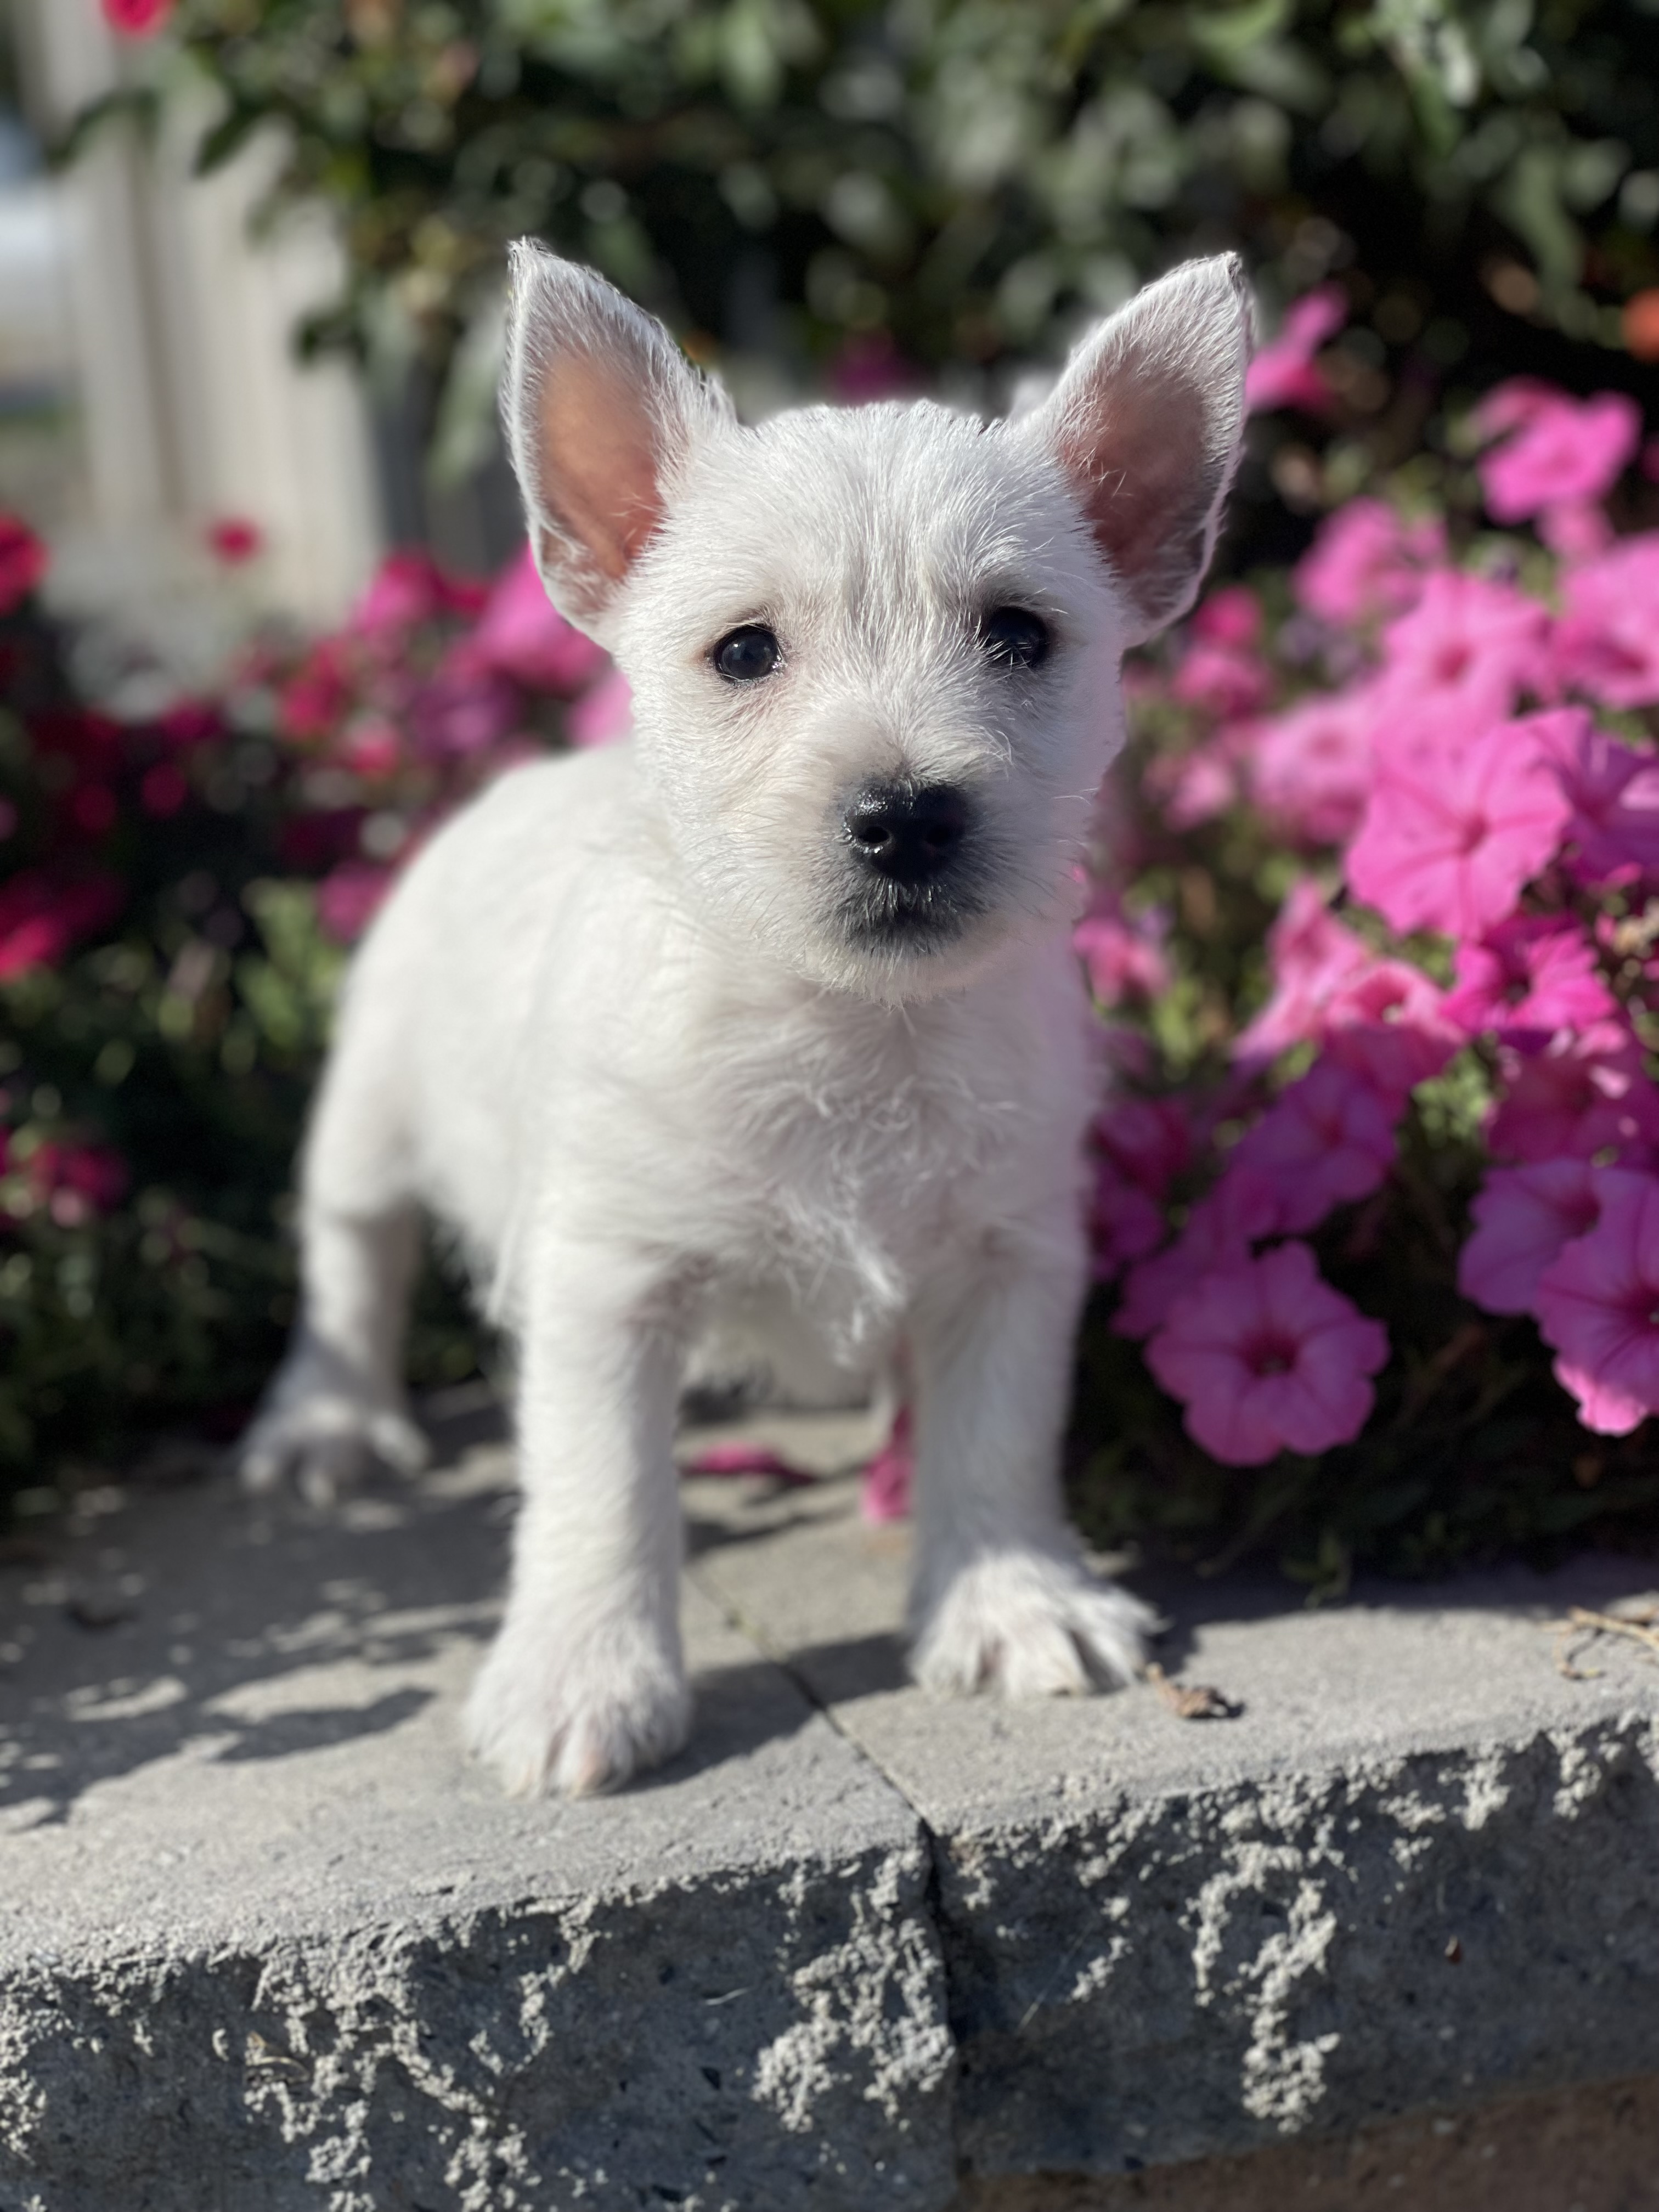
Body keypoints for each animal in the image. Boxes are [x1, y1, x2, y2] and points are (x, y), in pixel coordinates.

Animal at [240, 242, 1256, 1796]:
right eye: (743, 652)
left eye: (1020, 635)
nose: (906, 815)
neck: (848, 1026)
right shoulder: (606, 1283)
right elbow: (599, 1486)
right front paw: (581, 1681)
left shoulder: (1013, 1257)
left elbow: (997, 1436)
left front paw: (1012, 1601)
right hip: (368, 1110)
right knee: (354, 1256)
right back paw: (327, 1419)